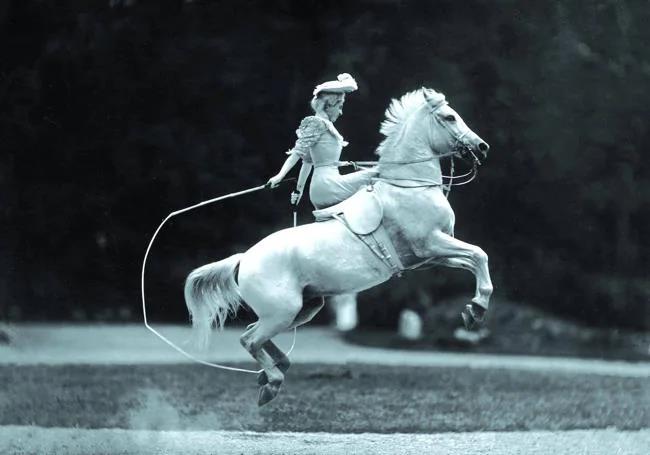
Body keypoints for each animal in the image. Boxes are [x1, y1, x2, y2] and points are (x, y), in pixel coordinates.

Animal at [184, 88, 492, 406]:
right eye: (449, 117)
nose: (482, 147)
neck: (409, 186)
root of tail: (244, 258)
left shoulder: (430, 257)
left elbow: (474, 260)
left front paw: (471, 310)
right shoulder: (431, 243)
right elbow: (479, 255)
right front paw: (477, 309)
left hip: (303, 309)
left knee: (253, 334)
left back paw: (274, 371)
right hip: (282, 312)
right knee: (249, 339)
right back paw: (272, 382)